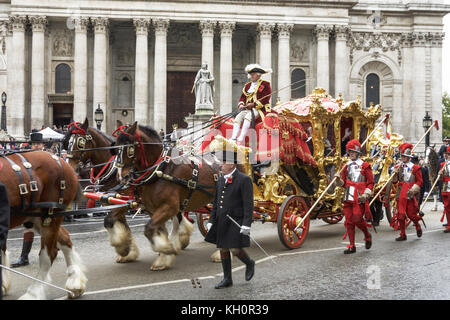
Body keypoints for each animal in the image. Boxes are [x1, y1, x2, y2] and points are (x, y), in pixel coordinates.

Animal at [1, 151, 87, 298]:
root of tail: (61, 160)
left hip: (50, 217)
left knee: (49, 254)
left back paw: (32, 293)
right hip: (37, 218)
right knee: (65, 240)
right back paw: (75, 282)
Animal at [115, 122, 221, 270]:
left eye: (130, 148)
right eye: (115, 147)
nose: (121, 176)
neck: (162, 169)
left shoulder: (169, 207)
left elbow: (149, 229)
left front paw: (166, 249)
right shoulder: (153, 209)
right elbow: (158, 230)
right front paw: (163, 257)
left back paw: (219, 254)